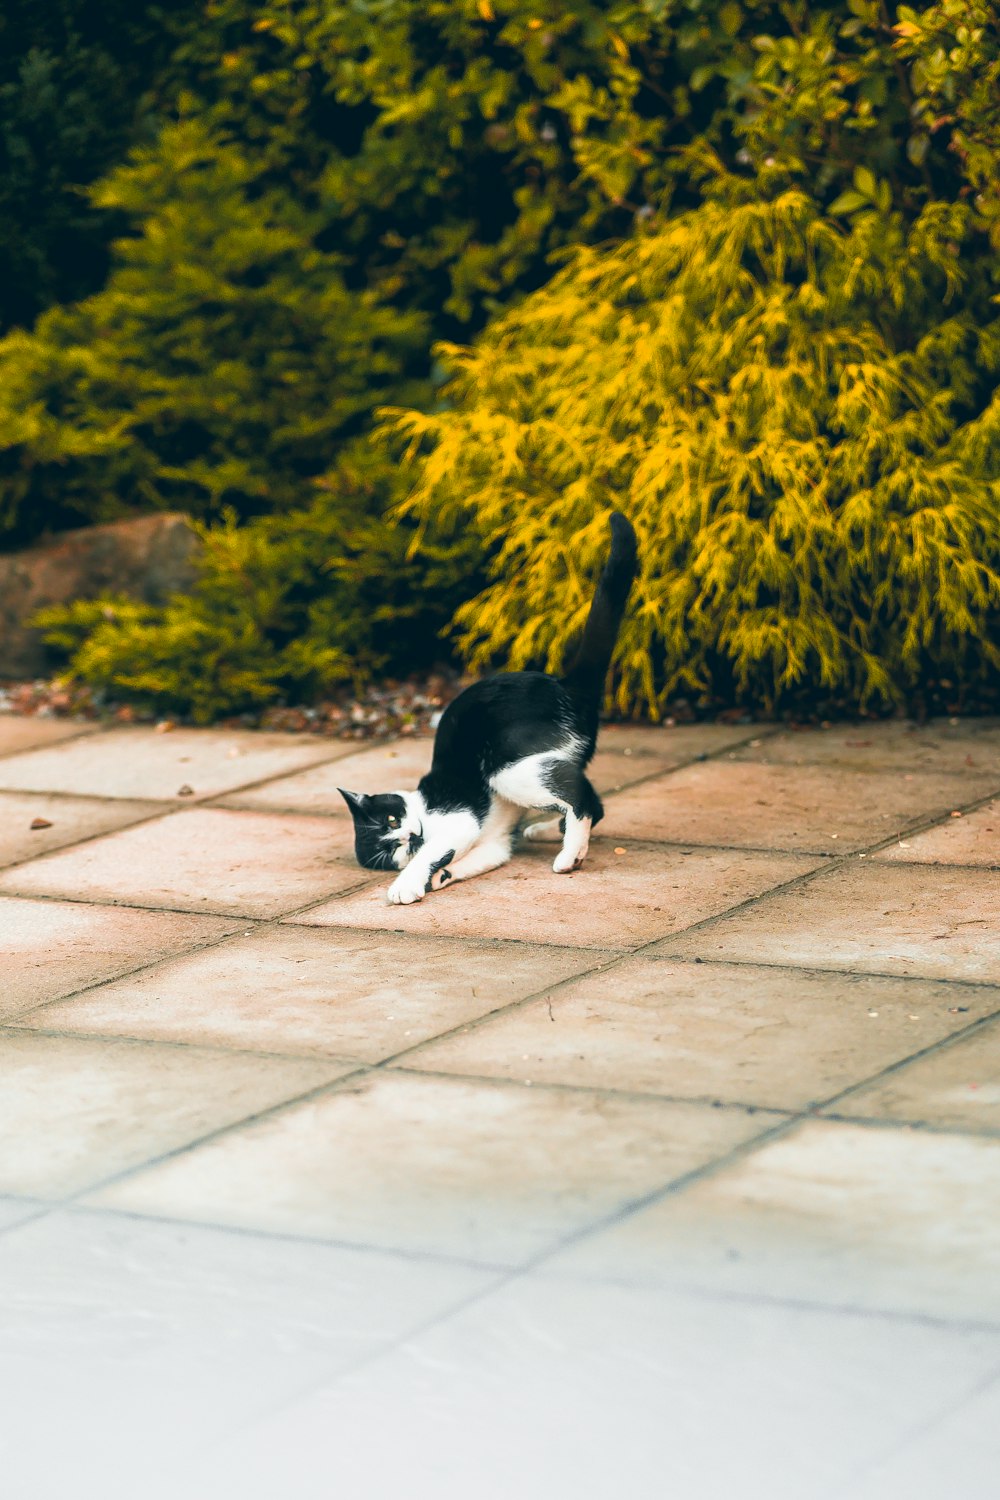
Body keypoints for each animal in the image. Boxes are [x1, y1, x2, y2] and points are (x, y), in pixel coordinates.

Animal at [340, 510, 638, 900]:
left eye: (392, 820)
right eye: (391, 848)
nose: (408, 835)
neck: (423, 812)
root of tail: (564, 685)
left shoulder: (457, 819)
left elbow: (432, 853)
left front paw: (406, 884)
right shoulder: (491, 846)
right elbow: (467, 859)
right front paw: (440, 876)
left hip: (506, 766)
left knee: (580, 794)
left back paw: (569, 854)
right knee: (587, 794)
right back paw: (550, 832)